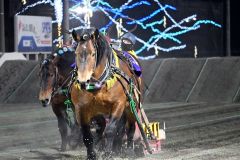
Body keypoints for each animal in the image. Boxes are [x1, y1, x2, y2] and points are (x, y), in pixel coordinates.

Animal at [70, 28, 151, 159]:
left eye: (93, 54)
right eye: (76, 53)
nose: (82, 81)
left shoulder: (118, 104)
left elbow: (111, 130)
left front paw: (108, 153)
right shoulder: (82, 108)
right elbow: (87, 134)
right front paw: (92, 154)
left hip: (131, 106)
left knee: (130, 127)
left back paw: (128, 150)